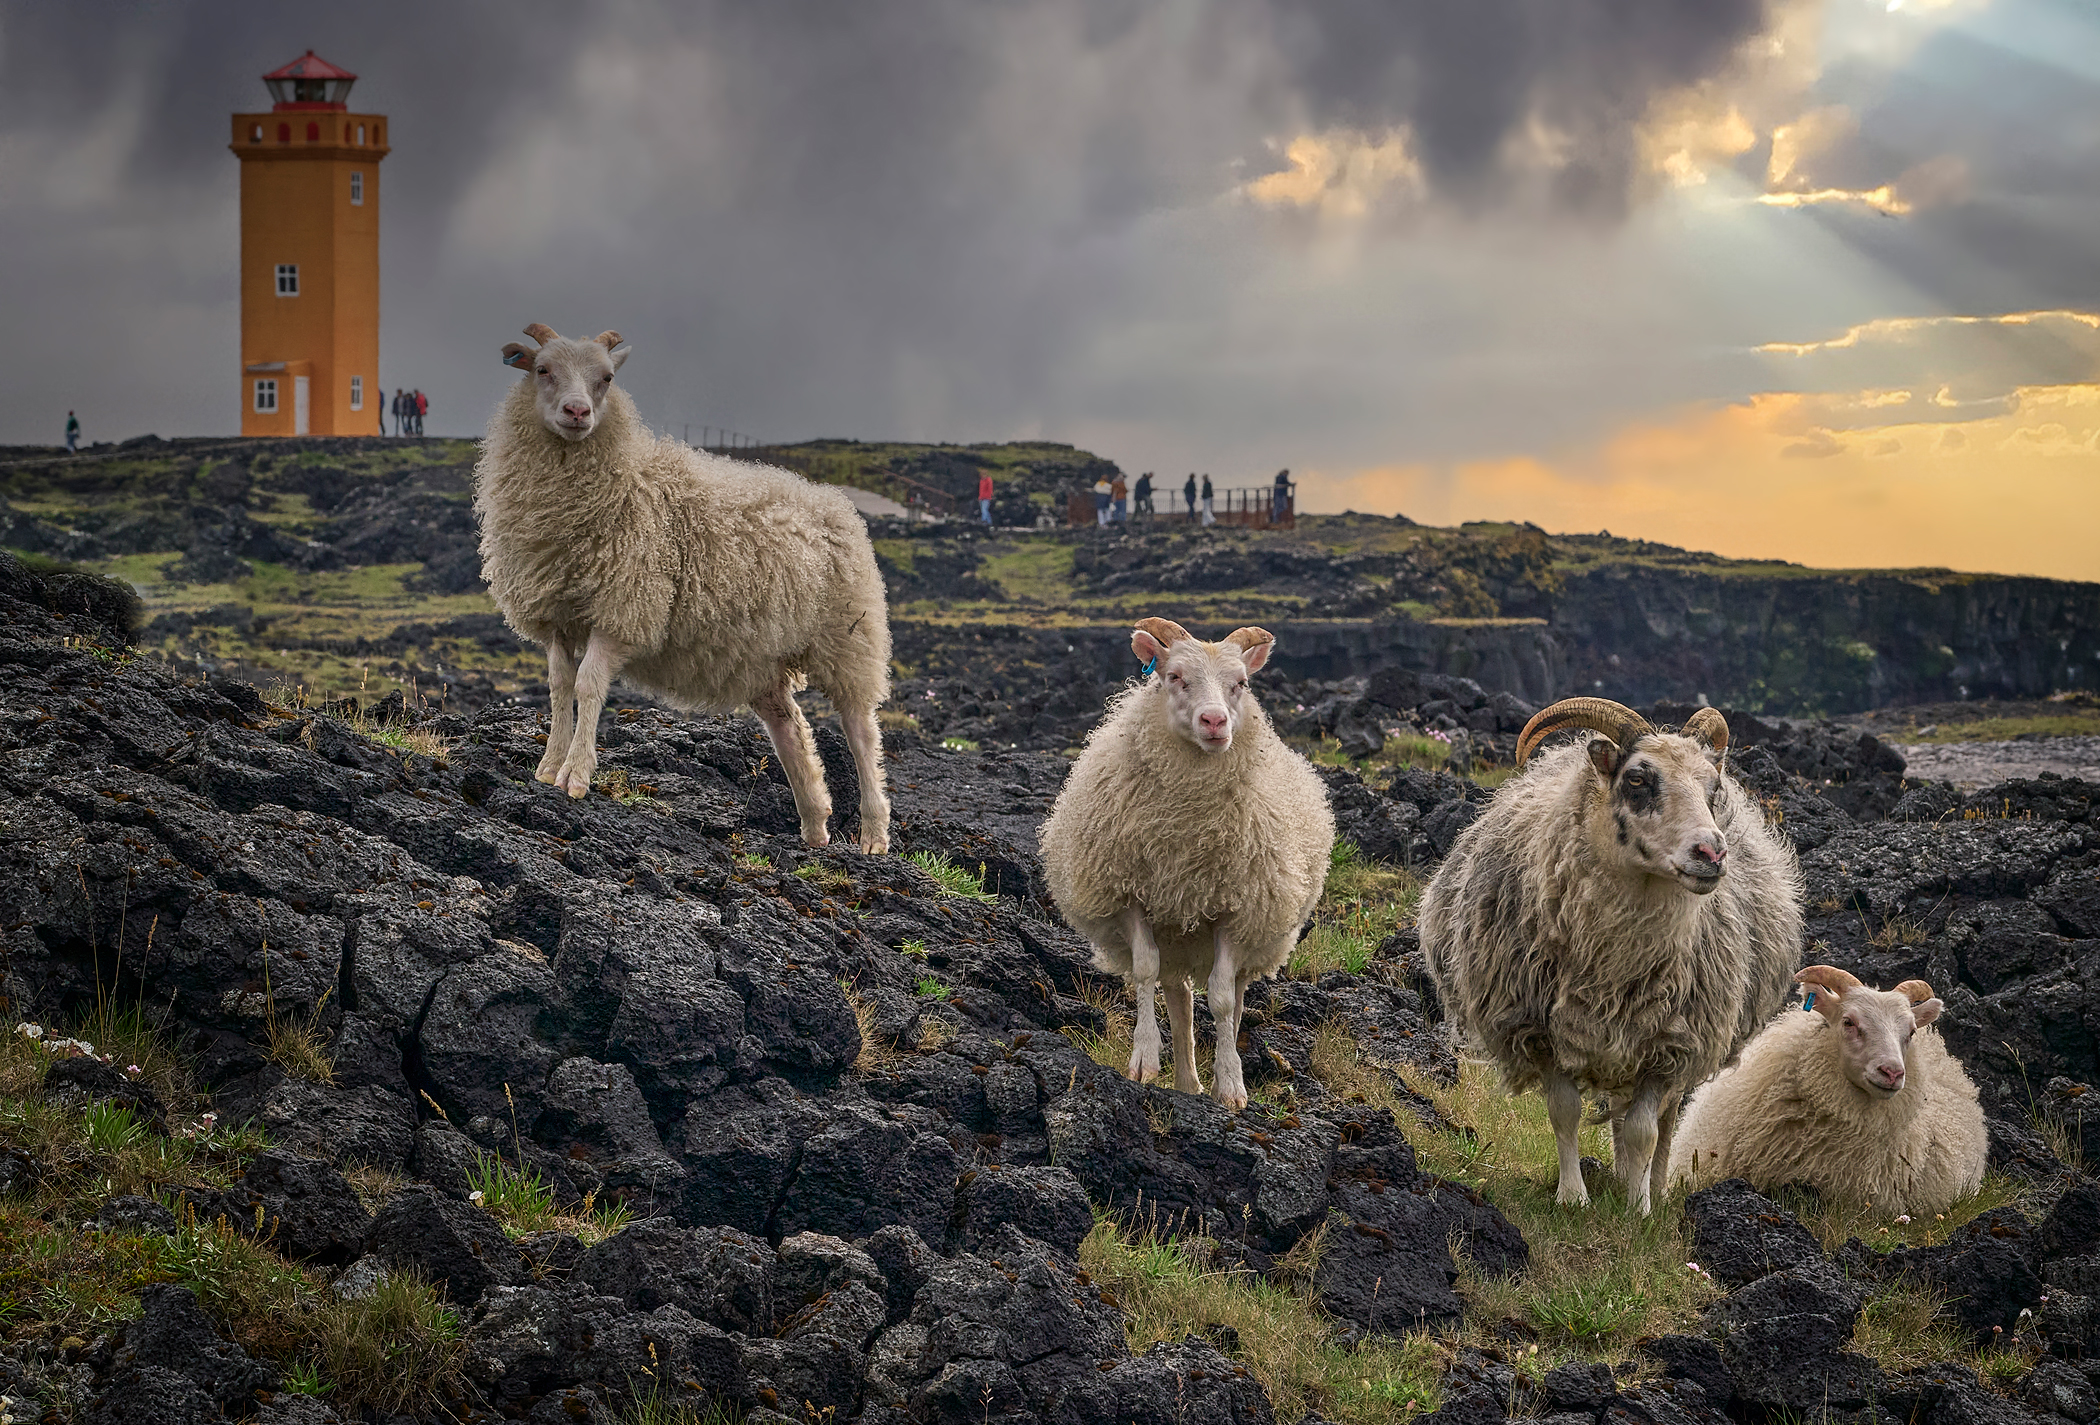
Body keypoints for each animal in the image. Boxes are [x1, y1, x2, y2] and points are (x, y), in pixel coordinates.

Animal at [472, 325, 890, 852]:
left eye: (606, 378)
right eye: (542, 369)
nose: (577, 412)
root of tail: (835, 502)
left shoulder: (624, 608)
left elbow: (588, 685)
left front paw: (576, 777)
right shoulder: (559, 615)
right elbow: (559, 685)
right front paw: (548, 767)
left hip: (848, 637)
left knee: (861, 731)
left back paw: (873, 834)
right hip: (763, 659)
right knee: (790, 726)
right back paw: (814, 826)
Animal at [1041, 617, 1335, 1108]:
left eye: (1242, 683)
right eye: (1175, 676)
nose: (1214, 721)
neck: (1186, 825)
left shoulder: (1236, 909)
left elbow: (1220, 999)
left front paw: (1231, 1085)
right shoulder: (1130, 894)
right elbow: (1145, 970)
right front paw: (1143, 1059)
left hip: (1245, 934)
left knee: (1233, 997)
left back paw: (1212, 1078)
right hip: (1174, 929)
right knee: (1178, 998)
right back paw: (1186, 1080)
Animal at [1419, 696, 1814, 1208]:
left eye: (1713, 787)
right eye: (1637, 779)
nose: (1711, 854)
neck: (1614, 964)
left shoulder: (1669, 1045)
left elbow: (1646, 1131)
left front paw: (1637, 1207)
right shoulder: (1541, 1031)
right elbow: (1565, 1112)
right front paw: (1573, 1198)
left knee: (1662, 1119)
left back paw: (1654, 1186)